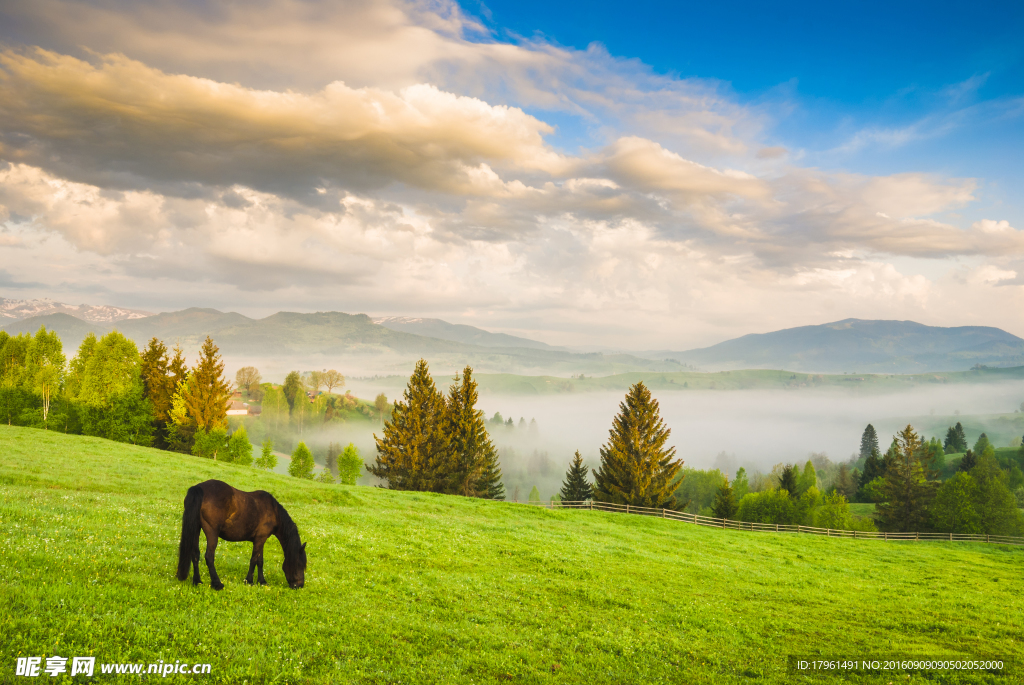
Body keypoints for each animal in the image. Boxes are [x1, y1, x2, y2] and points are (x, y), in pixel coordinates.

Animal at [174, 481, 307, 589]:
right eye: (300, 564)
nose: (300, 585)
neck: (273, 511)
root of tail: (199, 488)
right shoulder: (260, 539)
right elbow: (254, 560)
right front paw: (249, 581)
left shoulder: (260, 539)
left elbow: (260, 561)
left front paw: (262, 582)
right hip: (212, 532)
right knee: (209, 556)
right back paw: (217, 584)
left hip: (196, 528)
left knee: (195, 554)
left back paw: (197, 582)